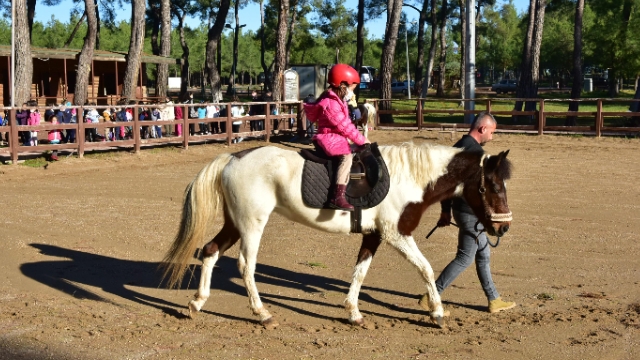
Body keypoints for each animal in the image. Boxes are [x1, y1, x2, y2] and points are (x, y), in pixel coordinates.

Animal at [162, 142, 512, 328]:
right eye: (494, 186)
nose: (502, 227)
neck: (410, 177)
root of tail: (233, 157)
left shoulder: (374, 235)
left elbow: (360, 272)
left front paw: (353, 312)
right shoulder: (397, 234)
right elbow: (425, 268)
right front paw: (437, 312)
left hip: (235, 223)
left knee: (210, 250)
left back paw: (197, 302)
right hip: (251, 224)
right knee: (246, 266)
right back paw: (262, 313)